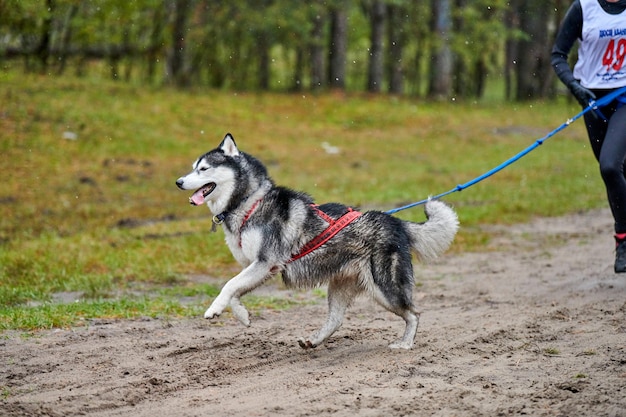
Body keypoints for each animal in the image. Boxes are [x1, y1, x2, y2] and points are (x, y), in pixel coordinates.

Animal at [173, 133, 456, 348]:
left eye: (203, 169)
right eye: (193, 167)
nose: (178, 181)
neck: (250, 202)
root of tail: (395, 221)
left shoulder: (265, 262)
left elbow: (229, 285)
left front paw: (214, 309)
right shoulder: (259, 267)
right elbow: (235, 290)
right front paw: (241, 316)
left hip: (385, 289)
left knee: (414, 314)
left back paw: (405, 343)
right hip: (341, 287)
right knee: (337, 319)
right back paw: (314, 341)